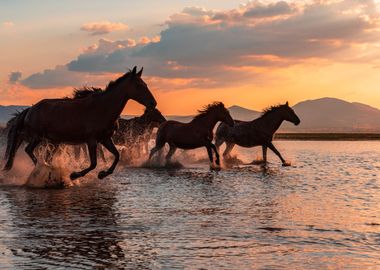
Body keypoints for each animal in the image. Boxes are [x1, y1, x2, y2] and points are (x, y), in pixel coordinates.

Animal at [3, 66, 157, 179]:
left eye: (145, 84)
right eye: (139, 85)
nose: (153, 103)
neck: (103, 108)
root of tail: (30, 109)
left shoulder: (105, 139)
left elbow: (117, 156)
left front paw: (103, 174)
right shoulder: (91, 140)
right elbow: (93, 163)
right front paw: (75, 175)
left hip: (52, 141)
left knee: (40, 155)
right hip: (37, 137)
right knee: (29, 150)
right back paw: (43, 168)